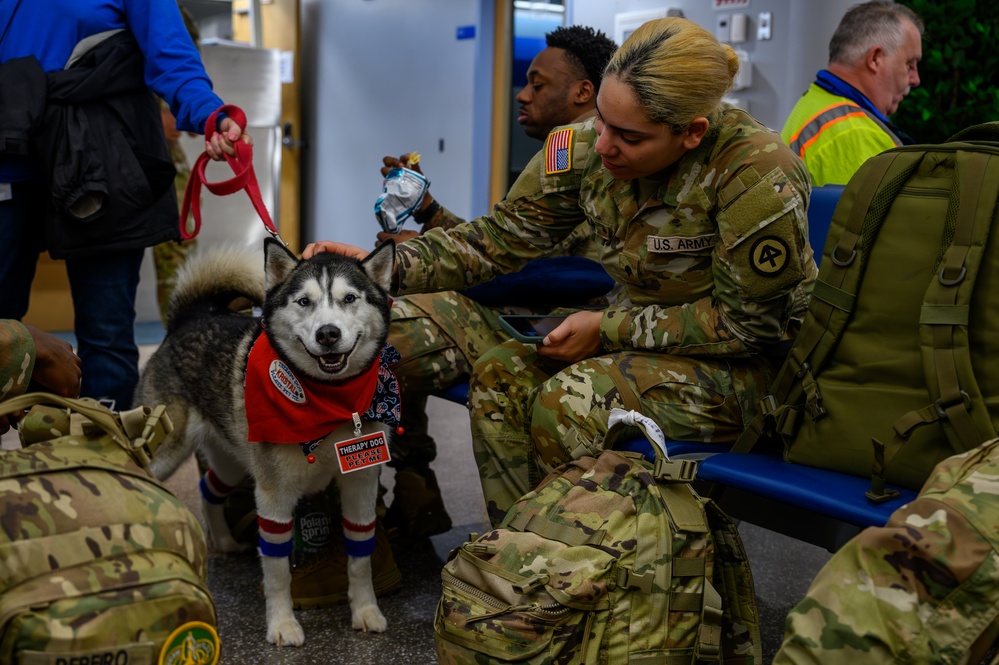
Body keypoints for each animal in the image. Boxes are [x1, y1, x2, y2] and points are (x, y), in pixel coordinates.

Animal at [136, 237, 398, 644]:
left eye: (350, 298)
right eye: (304, 301)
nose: (327, 334)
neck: (330, 401)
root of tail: (190, 317)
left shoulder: (361, 483)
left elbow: (360, 558)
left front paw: (366, 610)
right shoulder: (274, 496)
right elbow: (276, 571)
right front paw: (281, 623)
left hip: (232, 460)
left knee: (209, 487)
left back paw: (224, 540)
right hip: (167, 451)